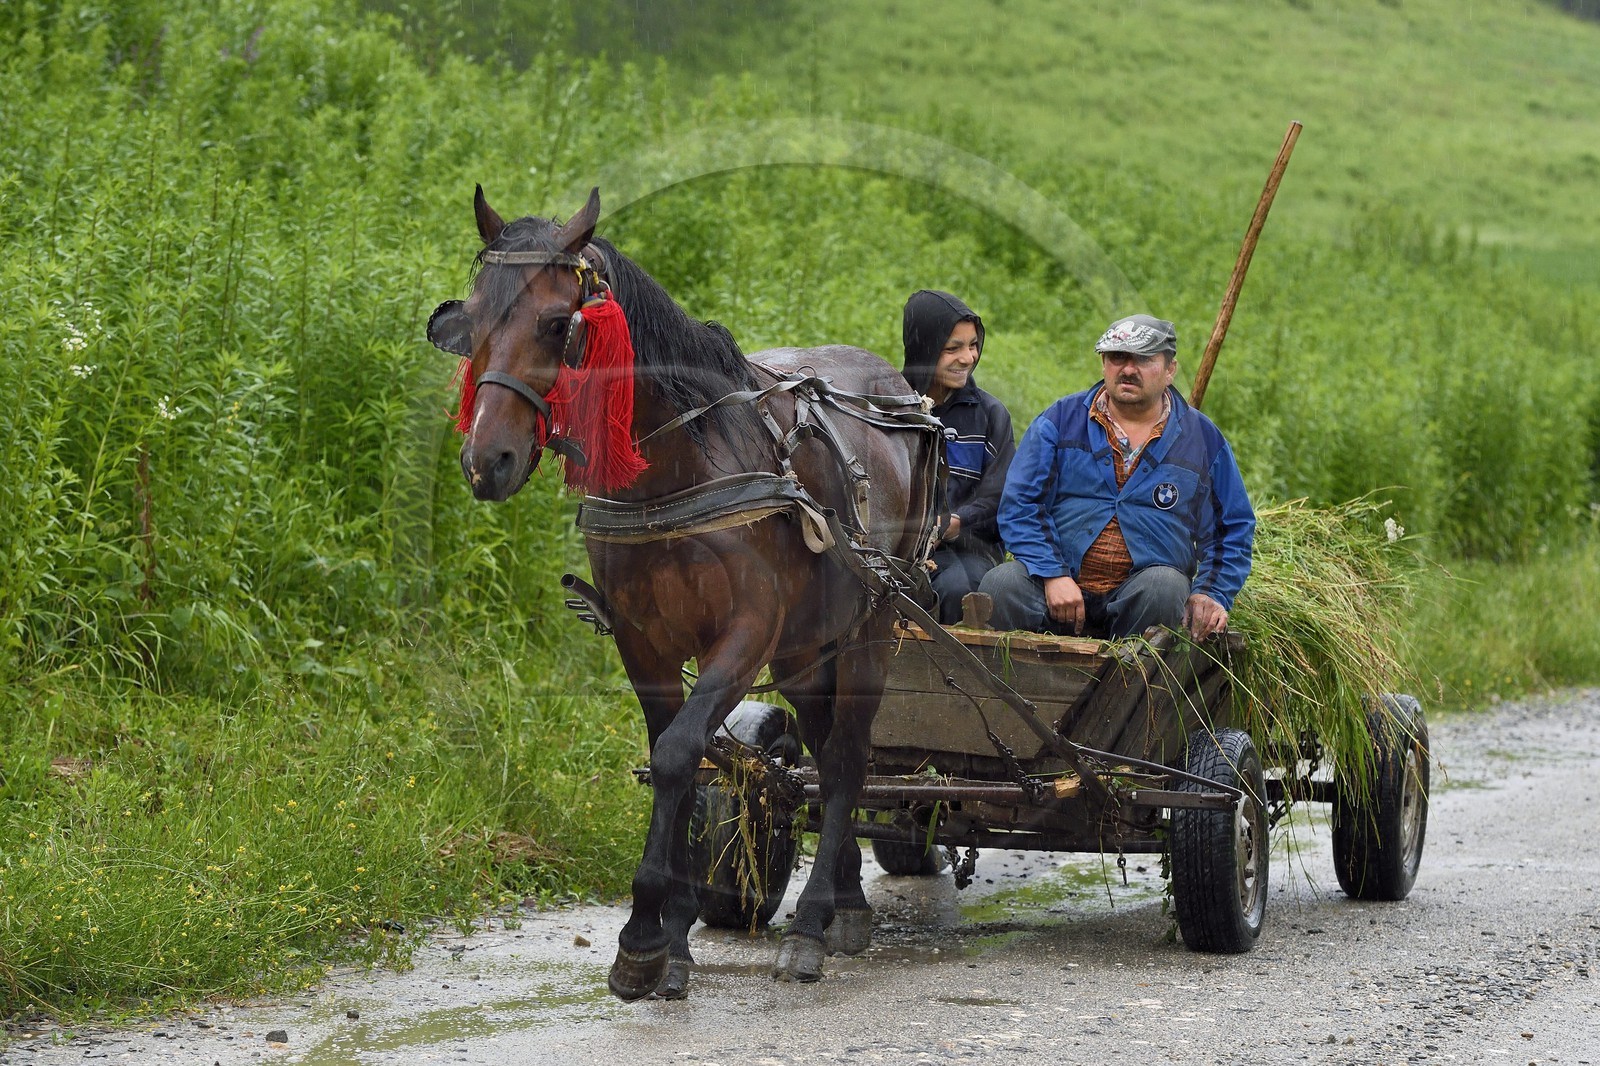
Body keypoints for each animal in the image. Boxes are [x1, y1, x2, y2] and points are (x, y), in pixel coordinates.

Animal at [427, 186, 943, 1000]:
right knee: (823, 744)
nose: (488, 460)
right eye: (469, 323)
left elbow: (676, 755)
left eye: (557, 325)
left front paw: (641, 938)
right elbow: (676, 753)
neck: (677, 467)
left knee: (848, 759)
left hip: (874, 621)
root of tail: (898, 388)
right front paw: (670, 938)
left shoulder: (745, 635)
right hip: (808, 645)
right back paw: (847, 899)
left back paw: (813, 922)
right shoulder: (645, 643)